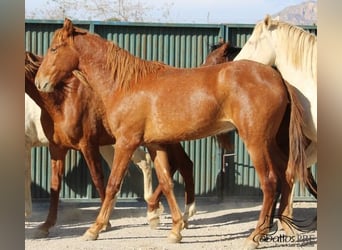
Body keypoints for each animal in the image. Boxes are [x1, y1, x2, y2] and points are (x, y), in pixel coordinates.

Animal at [25, 52, 196, 236]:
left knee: (176, 164)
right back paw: (167, 214)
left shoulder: (88, 145)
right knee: (182, 164)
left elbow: (98, 178)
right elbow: (54, 184)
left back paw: (163, 212)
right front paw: (47, 224)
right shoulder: (56, 148)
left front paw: (104, 223)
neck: (63, 100)